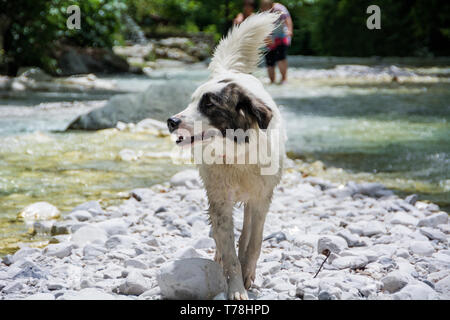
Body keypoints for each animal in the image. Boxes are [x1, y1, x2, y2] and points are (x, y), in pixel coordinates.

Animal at [167, 11, 286, 298]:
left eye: (209, 104)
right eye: (192, 102)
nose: (171, 121)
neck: (238, 155)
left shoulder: (261, 198)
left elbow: (254, 241)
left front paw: (248, 274)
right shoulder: (220, 200)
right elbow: (229, 250)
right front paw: (236, 286)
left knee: (247, 232)